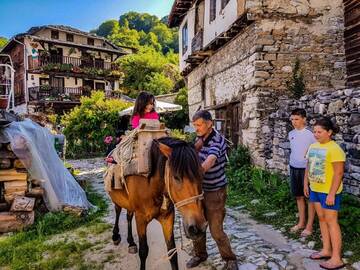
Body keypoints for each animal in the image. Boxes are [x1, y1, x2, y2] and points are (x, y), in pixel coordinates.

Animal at [107, 137, 205, 270]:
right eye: (176, 177)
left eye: (202, 174)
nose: (198, 228)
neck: (151, 185)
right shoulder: (140, 219)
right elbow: (143, 251)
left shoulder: (168, 218)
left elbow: (172, 252)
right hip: (117, 199)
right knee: (118, 211)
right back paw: (115, 236)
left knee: (128, 216)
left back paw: (131, 243)